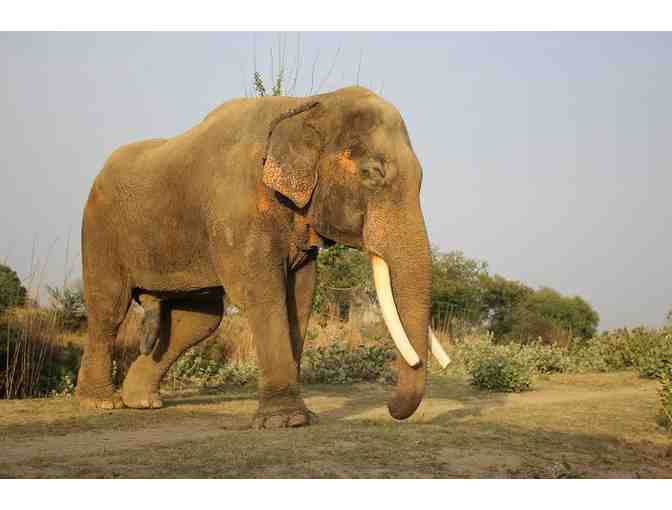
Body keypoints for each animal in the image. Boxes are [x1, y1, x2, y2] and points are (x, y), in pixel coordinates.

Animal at [76, 85, 450, 428]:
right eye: (372, 173)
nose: (389, 408)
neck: (307, 103)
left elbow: (300, 296)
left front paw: (303, 417)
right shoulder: (237, 208)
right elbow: (262, 292)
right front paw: (288, 421)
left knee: (200, 317)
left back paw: (142, 401)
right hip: (99, 230)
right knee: (109, 307)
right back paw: (100, 403)